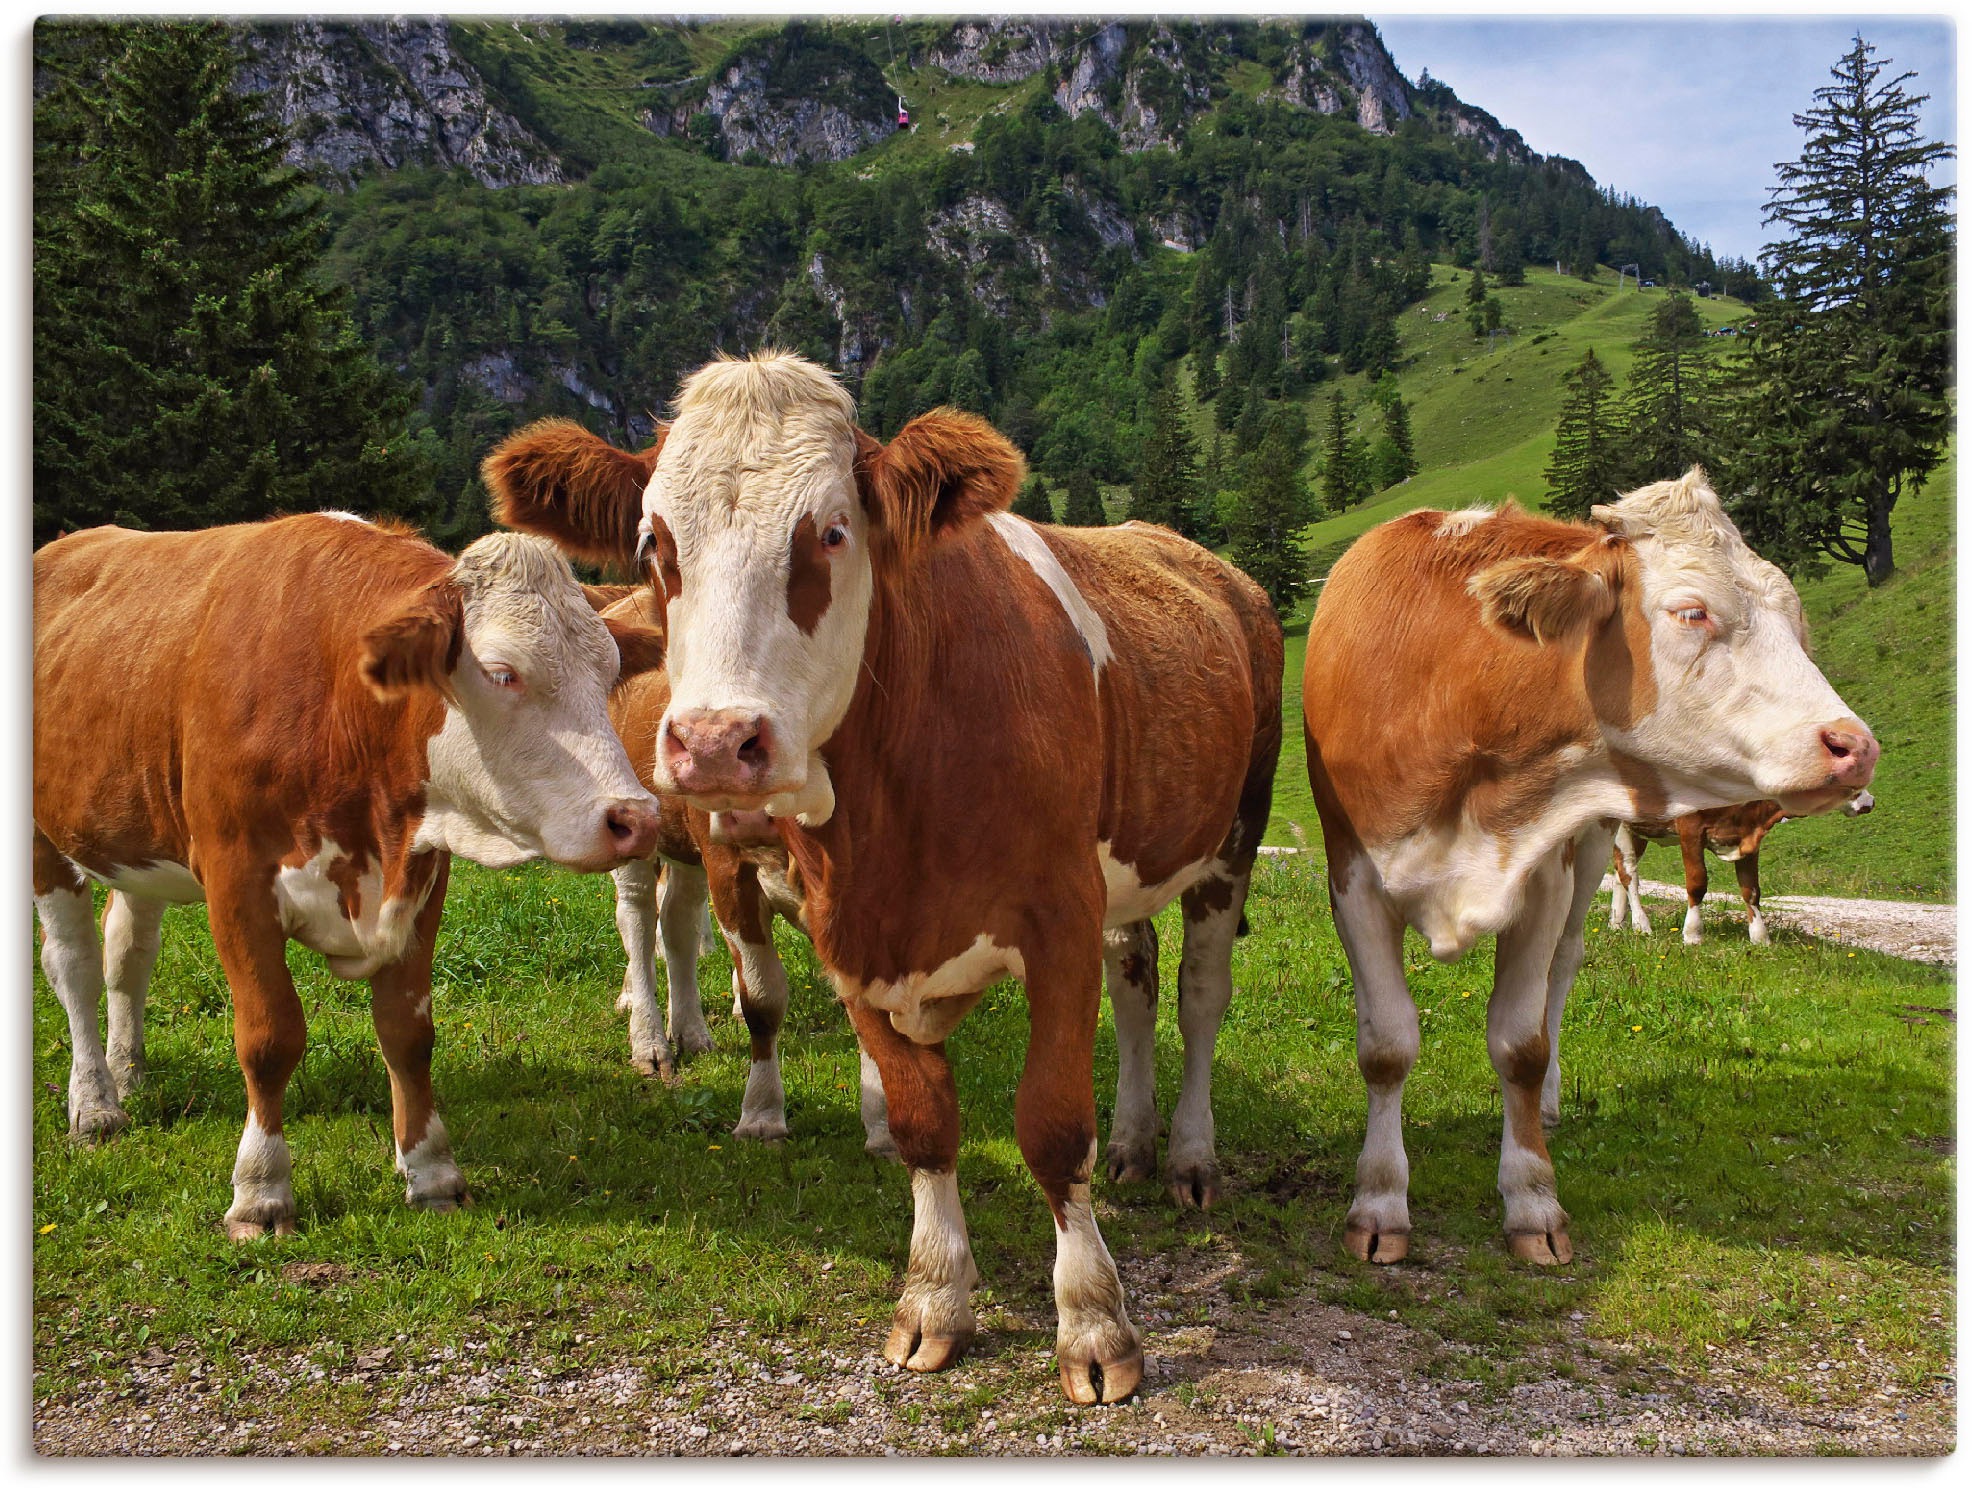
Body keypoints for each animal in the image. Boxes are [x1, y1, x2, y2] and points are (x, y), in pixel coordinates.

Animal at [33, 515, 667, 1239]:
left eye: (608, 673)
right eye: (503, 673)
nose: (637, 817)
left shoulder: (423, 876)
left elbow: (407, 1032)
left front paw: (431, 1170)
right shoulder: (235, 880)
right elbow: (269, 1036)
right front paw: (260, 1191)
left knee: (128, 953)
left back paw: (127, 1068)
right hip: (45, 841)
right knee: (75, 966)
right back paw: (95, 1105)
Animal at [481, 352, 1284, 1404]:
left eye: (831, 531)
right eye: (655, 542)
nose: (715, 744)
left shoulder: (1057, 919)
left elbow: (1050, 1123)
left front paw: (1094, 1325)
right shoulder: (850, 931)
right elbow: (918, 1119)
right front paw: (935, 1298)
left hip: (1233, 832)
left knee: (1198, 992)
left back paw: (1189, 1153)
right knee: (1137, 981)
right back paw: (1136, 1142)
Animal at [1608, 790, 1874, 944]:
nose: (1870, 801)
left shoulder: (1750, 841)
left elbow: (1752, 891)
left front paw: (1760, 937)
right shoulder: (1690, 829)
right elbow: (1697, 883)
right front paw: (1693, 934)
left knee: (1619, 873)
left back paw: (1617, 923)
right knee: (1629, 873)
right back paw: (1641, 925)